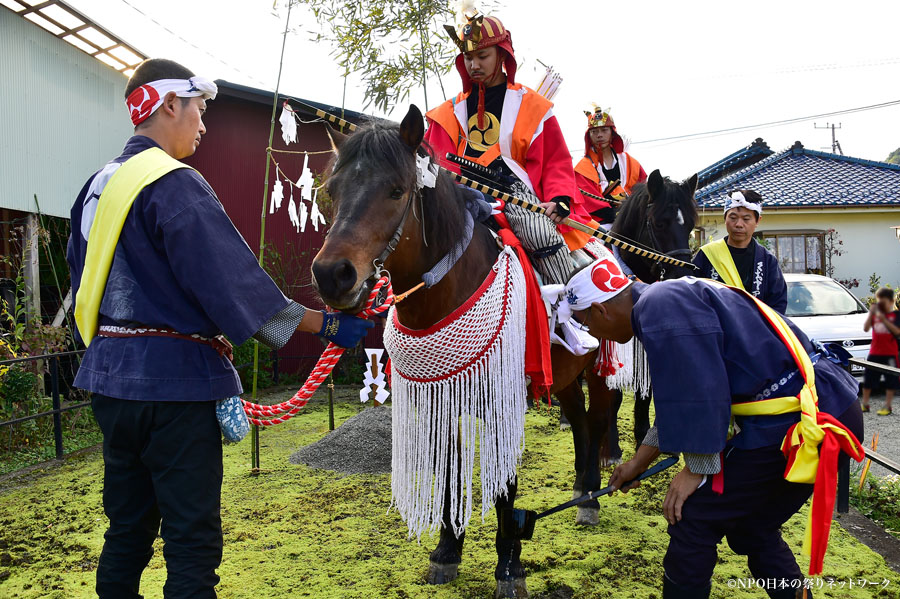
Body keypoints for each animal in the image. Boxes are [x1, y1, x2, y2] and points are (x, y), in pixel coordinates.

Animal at [312, 106, 624, 599]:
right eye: (332, 191)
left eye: (396, 190)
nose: (332, 275)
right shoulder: (438, 399)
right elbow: (448, 472)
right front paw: (447, 551)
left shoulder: (504, 400)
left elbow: (505, 487)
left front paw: (509, 567)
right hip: (565, 374)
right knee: (578, 423)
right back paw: (581, 490)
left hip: (600, 369)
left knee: (596, 421)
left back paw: (591, 495)